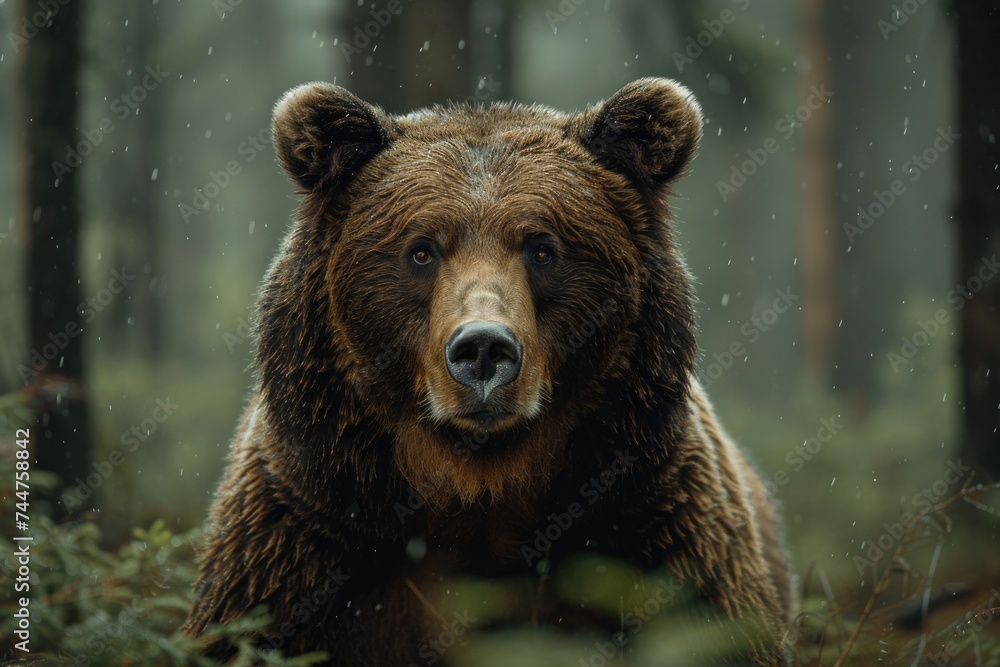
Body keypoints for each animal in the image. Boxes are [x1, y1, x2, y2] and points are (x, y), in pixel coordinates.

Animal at [185, 78, 795, 665]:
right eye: (422, 250)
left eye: (543, 249)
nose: (483, 349)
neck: (481, 488)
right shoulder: (305, 538)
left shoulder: (650, 526)